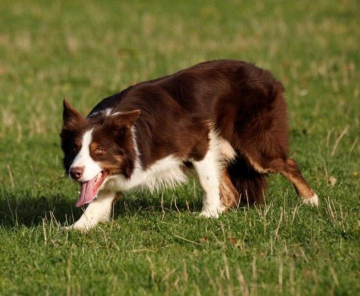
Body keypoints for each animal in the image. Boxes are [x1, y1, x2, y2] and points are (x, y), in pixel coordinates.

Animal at [61, 60, 318, 230]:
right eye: (74, 149)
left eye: (98, 150)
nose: (75, 173)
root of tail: (266, 74)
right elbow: (97, 200)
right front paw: (76, 228)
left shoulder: (199, 139)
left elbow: (207, 183)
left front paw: (208, 214)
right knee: (233, 192)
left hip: (253, 144)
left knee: (288, 164)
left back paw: (311, 200)